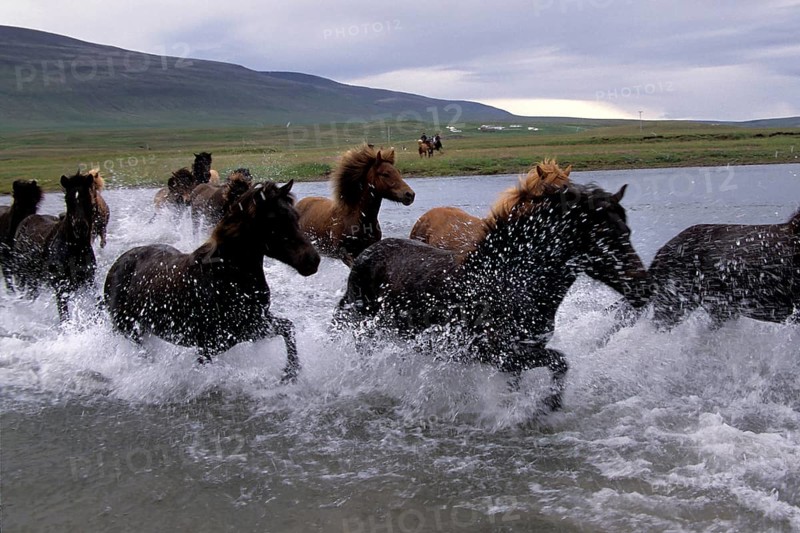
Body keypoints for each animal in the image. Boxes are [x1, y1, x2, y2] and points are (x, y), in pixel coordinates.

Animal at [13, 172, 97, 321]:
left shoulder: (89, 282)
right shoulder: (60, 289)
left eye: (87, 197)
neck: (74, 249)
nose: (80, 227)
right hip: (23, 277)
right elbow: (64, 317)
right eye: (67, 200)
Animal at [104, 180, 320, 381]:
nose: (312, 260)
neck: (225, 277)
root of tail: (118, 263)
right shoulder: (211, 345)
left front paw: (290, 373)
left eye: (296, 216)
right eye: (274, 222)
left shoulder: (254, 326)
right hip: (129, 330)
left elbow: (288, 328)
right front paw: (290, 372)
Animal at [335, 180, 649, 411]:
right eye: (603, 235)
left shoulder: (514, 361)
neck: (512, 282)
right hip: (368, 335)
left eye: (627, 230)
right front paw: (548, 406)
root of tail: (364, 256)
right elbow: (560, 361)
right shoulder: (501, 355)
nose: (642, 287)